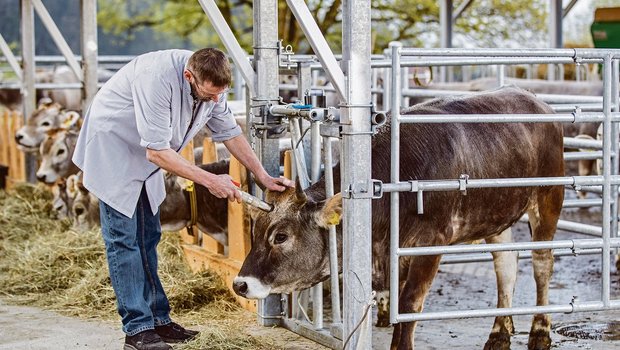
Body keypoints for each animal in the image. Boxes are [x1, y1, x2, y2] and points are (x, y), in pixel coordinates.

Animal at [234, 85, 568, 350]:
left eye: (281, 236)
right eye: (255, 230)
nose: (240, 285)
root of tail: (534, 100)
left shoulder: (430, 243)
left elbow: (409, 303)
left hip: (549, 199)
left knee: (542, 263)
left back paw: (540, 332)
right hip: (497, 215)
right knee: (505, 266)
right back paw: (499, 334)